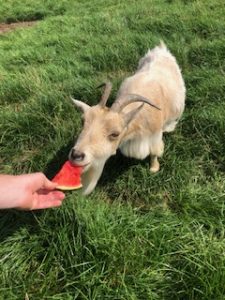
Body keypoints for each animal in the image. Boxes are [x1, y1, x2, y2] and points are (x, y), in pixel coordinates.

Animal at [69, 42, 185, 196]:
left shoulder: (154, 136)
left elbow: (154, 152)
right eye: (83, 122)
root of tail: (161, 49)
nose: (76, 155)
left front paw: (154, 169)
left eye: (115, 134)